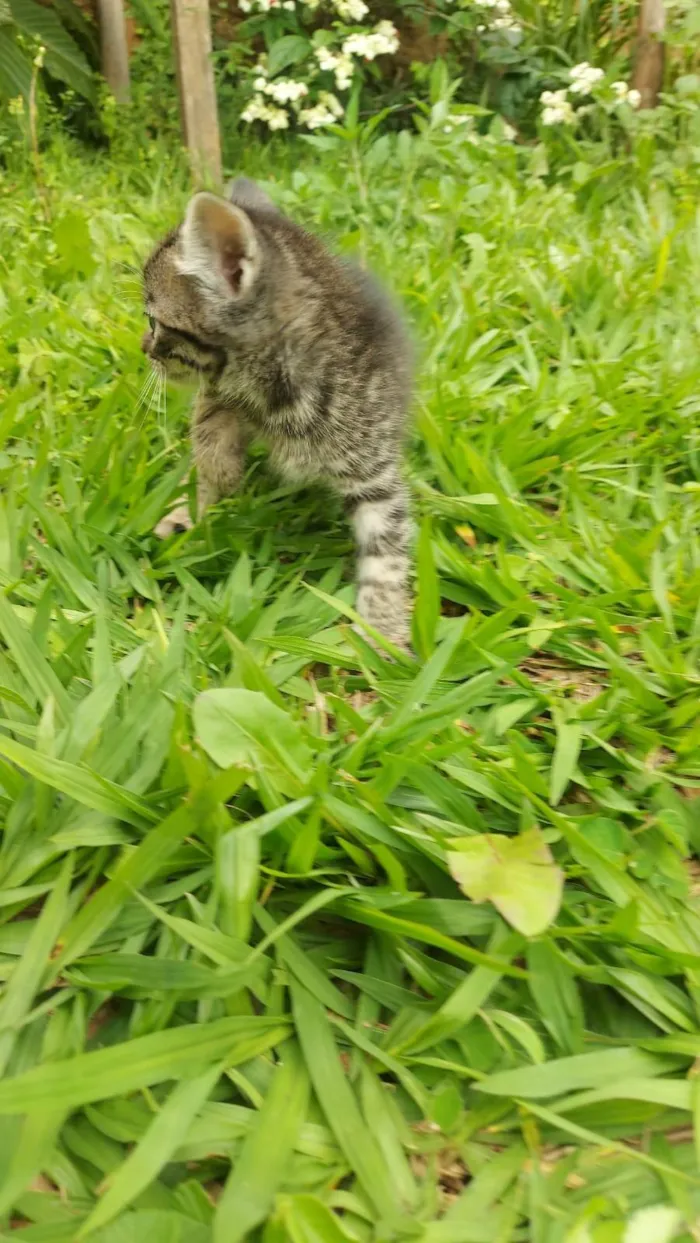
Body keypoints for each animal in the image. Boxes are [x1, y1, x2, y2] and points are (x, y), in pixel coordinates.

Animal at [143, 181, 415, 651]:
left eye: (152, 321)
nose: (144, 349)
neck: (278, 395)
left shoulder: (375, 470)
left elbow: (386, 550)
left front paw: (383, 635)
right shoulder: (220, 388)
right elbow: (209, 422)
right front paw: (217, 475)